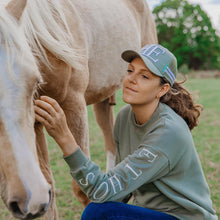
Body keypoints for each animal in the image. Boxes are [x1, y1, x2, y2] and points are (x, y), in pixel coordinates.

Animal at [0, 0, 158, 218]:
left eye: (34, 81)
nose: (30, 199)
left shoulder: (74, 105)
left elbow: (82, 188)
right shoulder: (35, 122)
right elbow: (49, 189)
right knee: (110, 143)